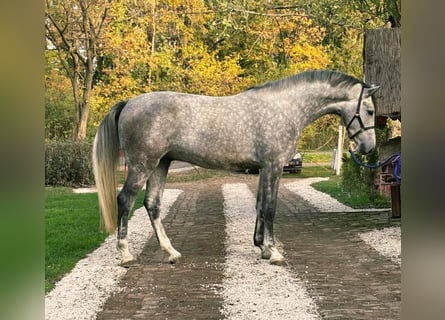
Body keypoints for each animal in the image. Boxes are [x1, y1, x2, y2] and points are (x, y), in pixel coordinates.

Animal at [93, 70, 378, 264]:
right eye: (370, 111)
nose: (368, 147)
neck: (285, 108)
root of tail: (129, 103)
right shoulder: (273, 166)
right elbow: (271, 208)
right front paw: (274, 252)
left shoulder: (264, 169)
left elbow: (261, 205)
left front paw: (262, 247)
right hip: (143, 165)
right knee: (125, 200)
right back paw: (126, 254)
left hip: (160, 164)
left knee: (152, 204)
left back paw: (171, 252)